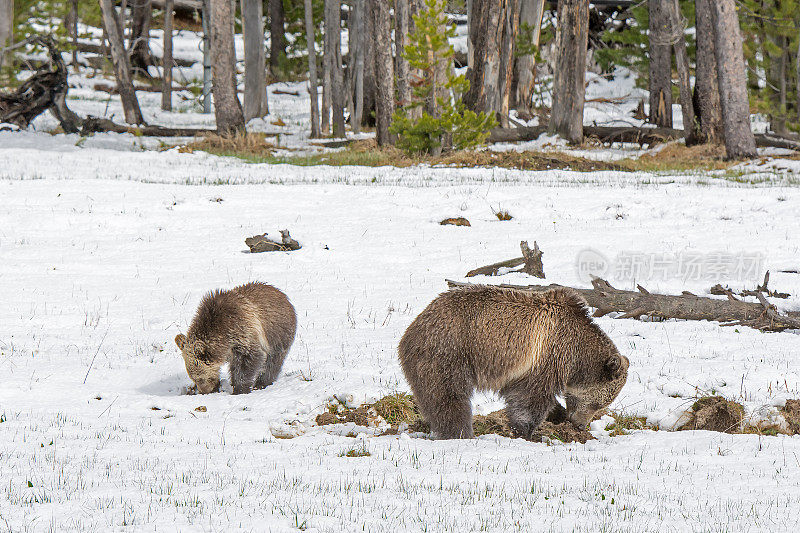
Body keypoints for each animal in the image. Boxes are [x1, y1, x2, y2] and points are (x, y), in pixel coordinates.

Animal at [396, 284, 628, 438]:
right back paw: (459, 432)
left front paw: (556, 414)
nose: (580, 425)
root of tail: (412, 329)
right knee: (448, 396)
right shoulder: (546, 357)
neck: (578, 354)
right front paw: (526, 430)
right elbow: (530, 399)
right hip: (449, 352)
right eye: (598, 404)